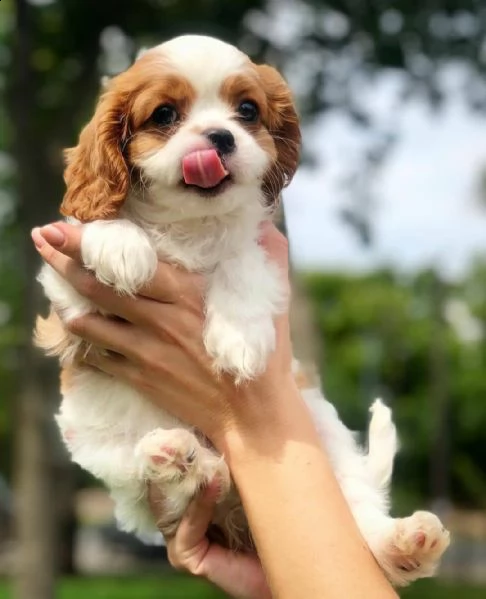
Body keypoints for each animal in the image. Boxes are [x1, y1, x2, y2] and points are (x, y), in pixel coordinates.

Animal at [36, 34, 450, 584]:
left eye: (247, 111)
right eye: (165, 115)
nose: (220, 137)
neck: (191, 223)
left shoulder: (262, 249)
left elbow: (240, 260)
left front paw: (239, 339)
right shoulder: (63, 295)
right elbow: (89, 233)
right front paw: (119, 244)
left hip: (321, 430)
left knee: (359, 510)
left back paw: (405, 542)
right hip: (104, 447)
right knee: (160, 491)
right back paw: (183, 459)